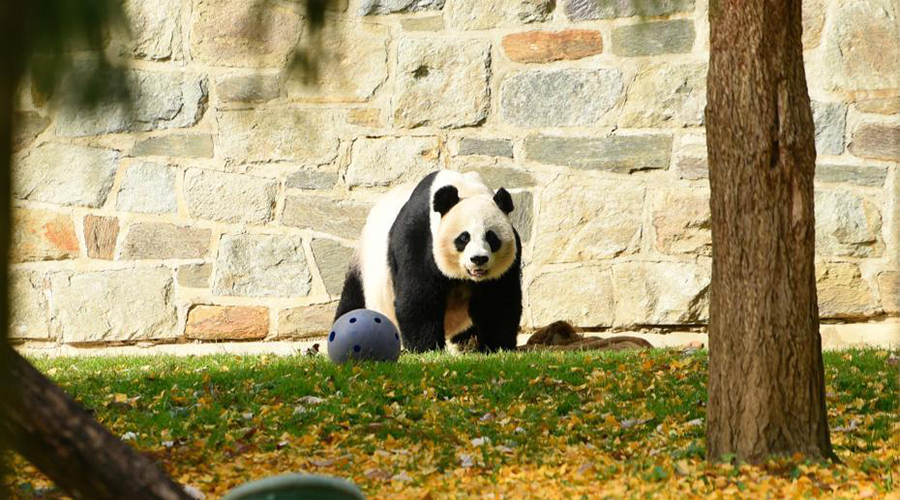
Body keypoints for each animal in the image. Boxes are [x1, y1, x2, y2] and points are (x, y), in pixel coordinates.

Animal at [336, 170, 520, 354]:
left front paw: (496, 347)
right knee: (354, 300)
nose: (478, 259)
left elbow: (497, 301)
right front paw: (426, 348)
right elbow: (418, 297)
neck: (466, 189)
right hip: (365, 269)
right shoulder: (419, 235)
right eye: (464, 238)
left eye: (491, 237)